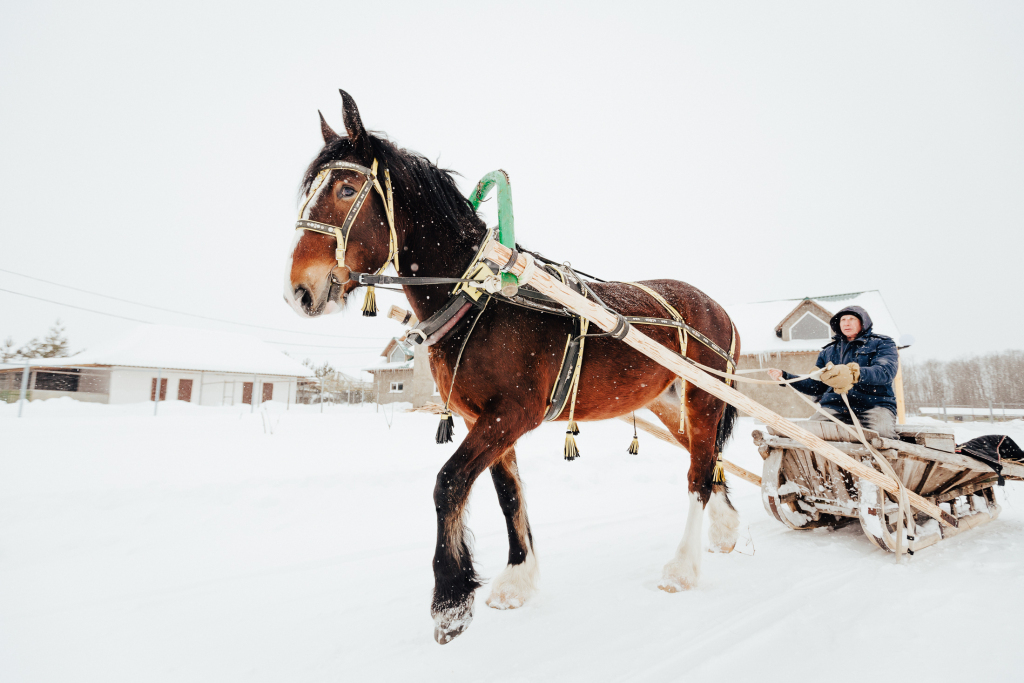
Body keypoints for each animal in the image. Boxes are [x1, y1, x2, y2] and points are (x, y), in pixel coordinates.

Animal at [284, 90, 741, 647]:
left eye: (347, 188)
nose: (299, 290)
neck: (483, 296)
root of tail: (718, 309)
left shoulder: (513, 413)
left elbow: (449, 483)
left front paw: (451, 602)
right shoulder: (485, 418)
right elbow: (507, 496)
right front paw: (517, 580)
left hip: (705, 397)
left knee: (699, 473)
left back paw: (682, 568)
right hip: (672, 406)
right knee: (708, 460)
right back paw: (725, 530)